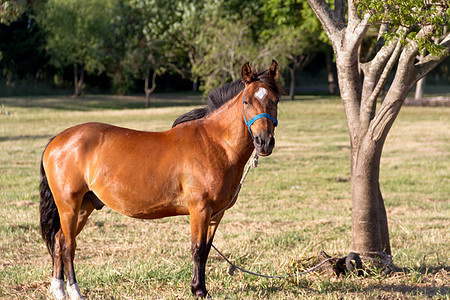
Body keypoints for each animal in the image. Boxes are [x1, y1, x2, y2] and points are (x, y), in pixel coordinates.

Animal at [41, 60, 282, 298]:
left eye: (276, 100)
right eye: (246, 101)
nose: (264, 142)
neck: (215, 143)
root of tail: (58, 139)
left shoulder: (216, 214)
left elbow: (205, 251)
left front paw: (202, 289)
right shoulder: (200, 209)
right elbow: (197, 249)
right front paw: (198, 290)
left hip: (84, 205)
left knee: (59, 241)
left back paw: (59, 290)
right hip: (69, 206)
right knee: (68, 246)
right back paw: (74, 292)